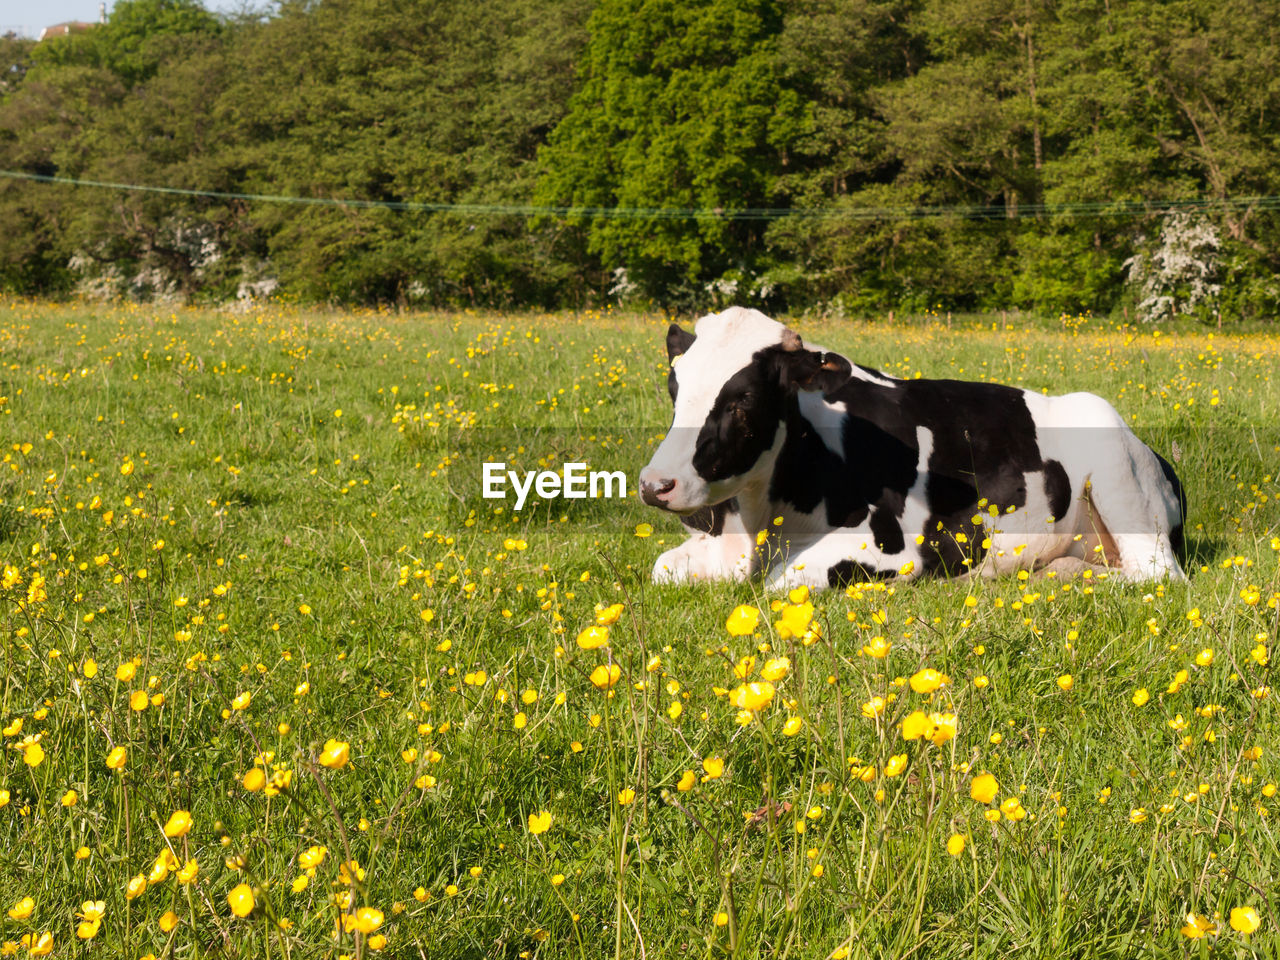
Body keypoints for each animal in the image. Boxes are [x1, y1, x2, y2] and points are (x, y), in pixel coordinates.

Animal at [634, 312, 1182, 591]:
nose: (656, 485)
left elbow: (781, 583)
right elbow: (662, 568)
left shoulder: (895, 549)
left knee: (1156, 576)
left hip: (1118, 472)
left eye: (743, 399)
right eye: (674, 387)